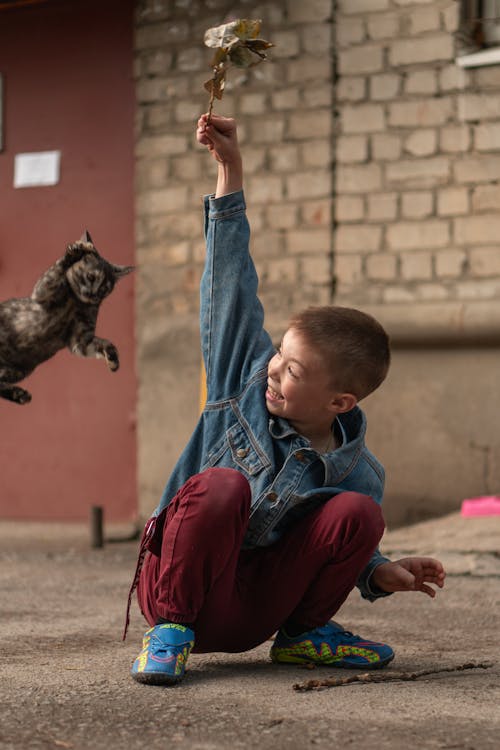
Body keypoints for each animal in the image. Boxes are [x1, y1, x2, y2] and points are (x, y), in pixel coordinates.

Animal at [0, 232, 134, 406]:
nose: (93, 295)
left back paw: (20, 395)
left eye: (105, 289)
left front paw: (113, 359)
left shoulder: (80, 340)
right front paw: (76, 251)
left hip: (17, 371)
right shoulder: (44, 290)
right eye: (91, 276)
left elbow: (105, 343)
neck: (76, 302)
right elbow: (58, 269)